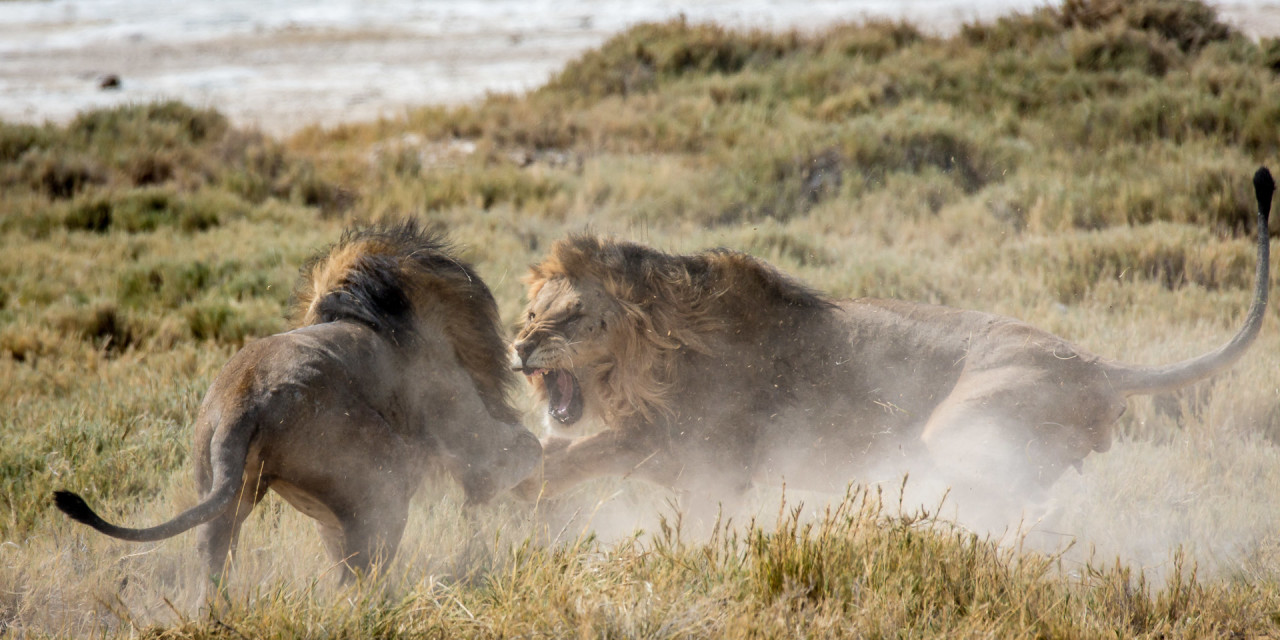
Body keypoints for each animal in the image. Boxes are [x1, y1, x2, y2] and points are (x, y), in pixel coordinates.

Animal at [53, 220, 540, 586]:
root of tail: (243, 404)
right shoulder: (455, 412)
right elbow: (508, 456)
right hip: (383, 476)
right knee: (360, 573)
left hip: (225, 484)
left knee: (217, 556)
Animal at [509, 168, 1269, 519]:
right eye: (530, 312)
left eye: (571, 318)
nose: (518, 350)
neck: (651, 355)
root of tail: (1095, 364)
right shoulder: (686, 462)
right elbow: (589, 453)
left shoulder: (701, 450)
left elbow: (593, 452)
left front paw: (519, 480)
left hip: (966, 429)